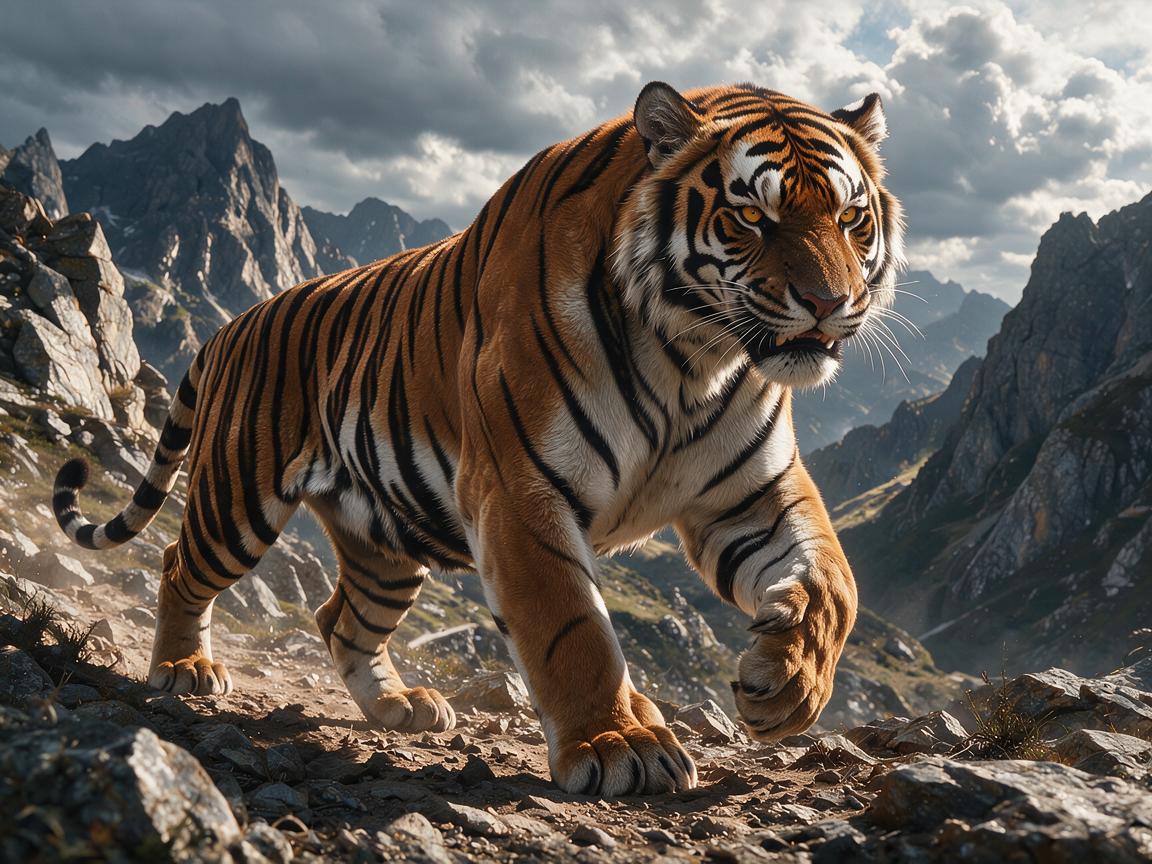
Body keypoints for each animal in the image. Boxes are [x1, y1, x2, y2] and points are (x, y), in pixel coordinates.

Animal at [52, 81, 904, 797]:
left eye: (851, 219)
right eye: (752, 216)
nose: (831, 303)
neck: (693, 356)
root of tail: (233, 323)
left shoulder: (752, 493)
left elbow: (835, 583)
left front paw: (786, 681)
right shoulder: (521, 490)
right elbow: (572, 627)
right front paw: (617, 744)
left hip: (387, 542)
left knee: (340, 619)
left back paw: (400, 708)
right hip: (238, 496)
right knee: (176, 562)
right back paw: (183, 668)